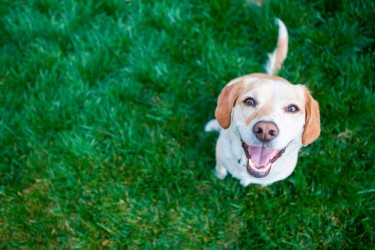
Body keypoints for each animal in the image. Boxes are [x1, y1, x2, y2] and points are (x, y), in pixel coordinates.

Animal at [204, 19, 322, 187]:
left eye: (293, 108)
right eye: (249, 101)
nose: (265, 130)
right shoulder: (220, 156)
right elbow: (220, 169)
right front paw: (218, 176)